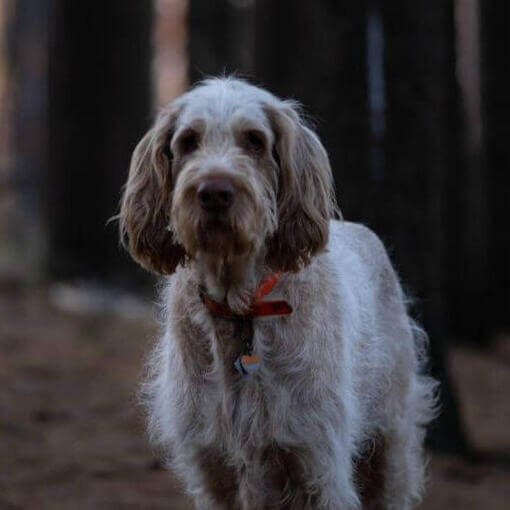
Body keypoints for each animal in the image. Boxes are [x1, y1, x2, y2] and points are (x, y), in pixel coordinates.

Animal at [119, 77, 438, 508]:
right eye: (188, 141)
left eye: (254, 140)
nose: (214, 192)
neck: (241, 308)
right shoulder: (213, 469)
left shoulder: (317, 462)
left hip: (389, 448)